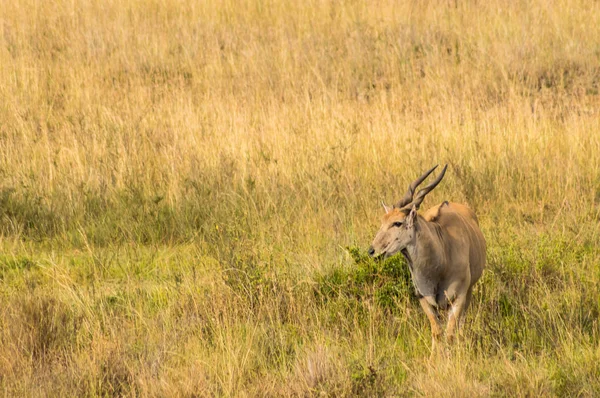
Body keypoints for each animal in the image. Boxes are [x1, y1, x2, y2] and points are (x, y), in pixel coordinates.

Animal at [368, 166, 486, 348]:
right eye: (382, 221)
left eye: (397, 223)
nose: (372, 251)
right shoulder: (424, 299)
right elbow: (436, 333)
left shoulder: (458, 297)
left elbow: (450, 334)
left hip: (469, 290)